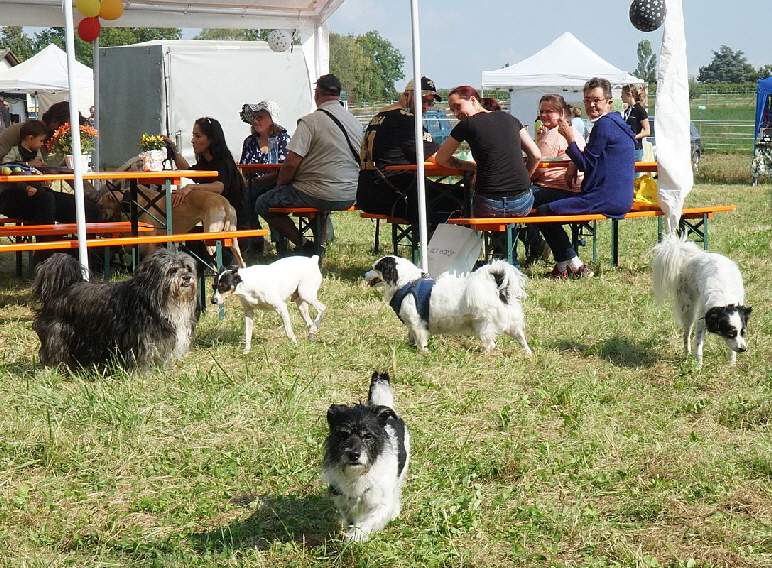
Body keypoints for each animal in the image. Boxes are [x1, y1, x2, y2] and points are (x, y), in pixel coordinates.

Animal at [322, 372, 410, 540]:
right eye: (342, 435)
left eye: (368, 436)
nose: (354, 455)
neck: (357, 476)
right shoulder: (344, 501)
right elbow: (351, 520)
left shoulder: (382, 504)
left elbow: (368, 521)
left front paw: (355, 536)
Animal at [652, 233, 752, 366]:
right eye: (730, 333)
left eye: (743, 332)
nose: (743, 349)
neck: (725, 300)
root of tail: (692, 256)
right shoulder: (702, 320)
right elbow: (699, 344)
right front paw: (699, 365)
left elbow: (732, 349)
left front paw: (732, 364)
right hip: (688, 311)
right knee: (687, 335)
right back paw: (687, 354)